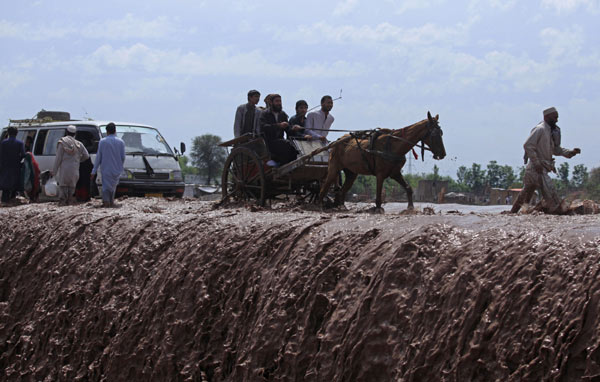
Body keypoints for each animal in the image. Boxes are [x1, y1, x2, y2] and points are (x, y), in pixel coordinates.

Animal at [318, 111, 446, 212]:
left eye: (441, 132)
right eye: (434, 134)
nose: (443, 154)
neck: (394, 145)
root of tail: (337, 141)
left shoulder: (395, 173)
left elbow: (408, 188)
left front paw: (410, 207)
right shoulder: (380, 174)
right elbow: (379, 193)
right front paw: (378, 208)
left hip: (351, 173)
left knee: (341, 191)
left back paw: (340, 206)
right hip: (334, 168)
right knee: (324, 187)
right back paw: (319, 204)